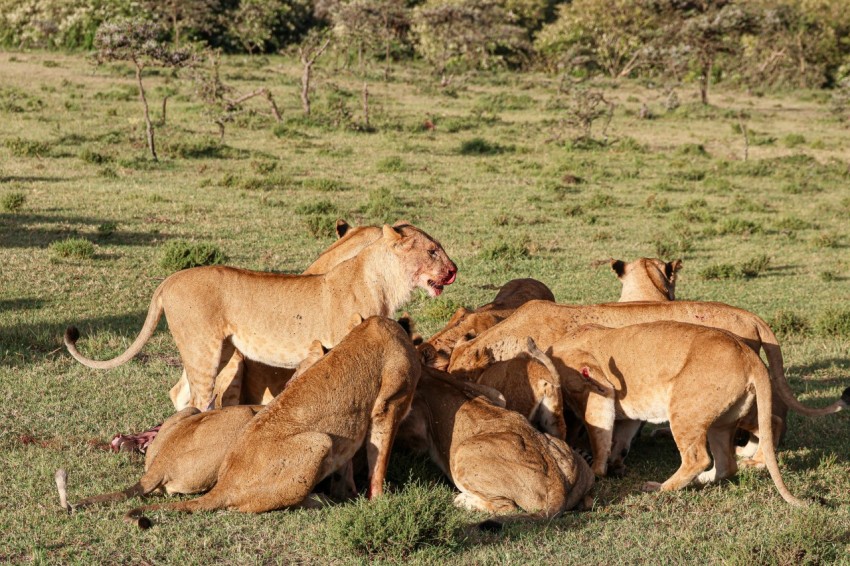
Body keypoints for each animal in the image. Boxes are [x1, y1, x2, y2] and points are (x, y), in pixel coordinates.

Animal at [65, 223, 454, 412]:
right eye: (433, 250)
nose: (454, 270)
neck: (385, 280)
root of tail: (170, 279)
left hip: (218, 350)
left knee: (180, 392)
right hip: (204, 348)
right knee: (200, 398)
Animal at [120, 318, 420, 532]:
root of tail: (224, 484)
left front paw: (350, 492)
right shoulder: (388, 406)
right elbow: (378, 462)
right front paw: (378, 501)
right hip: (318, 440)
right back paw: (320, 501)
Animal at [544, 322, 820, 508]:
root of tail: (748, 354)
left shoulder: (593, 391)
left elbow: (598, 432)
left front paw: (597, 469)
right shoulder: (627, 413)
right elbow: (620, 437)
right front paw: (614, 463)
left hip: (684, 408)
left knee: (699, 458)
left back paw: (660, 487)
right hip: (726, 420)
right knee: (735, 455)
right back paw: (713, 474)